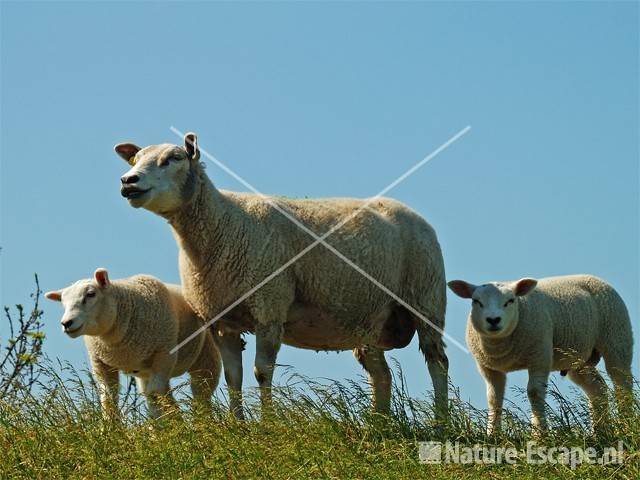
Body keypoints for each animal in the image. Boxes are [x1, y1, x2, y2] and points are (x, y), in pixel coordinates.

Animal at [44, 268, 220, 418]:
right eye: (62, 303)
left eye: (91, 294)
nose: (66, 323)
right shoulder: (101, 363)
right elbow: (108, 399)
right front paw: (110, 431)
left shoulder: (164, 355)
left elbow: (157, 395)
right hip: (145, 373)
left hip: (206, 358)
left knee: (201, 394)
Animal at [448, 274, 632, 436]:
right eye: (476, 301)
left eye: (510, 301)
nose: (493, 320)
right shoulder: (488, 368)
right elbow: (494, 399)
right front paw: (492, 434)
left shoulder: (540, 356)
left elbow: (534, 393)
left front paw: (539, 433)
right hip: (577, 358)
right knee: (597, 387)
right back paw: (600, 431)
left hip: (617, 337)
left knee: (622, 383)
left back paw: (625, 424)